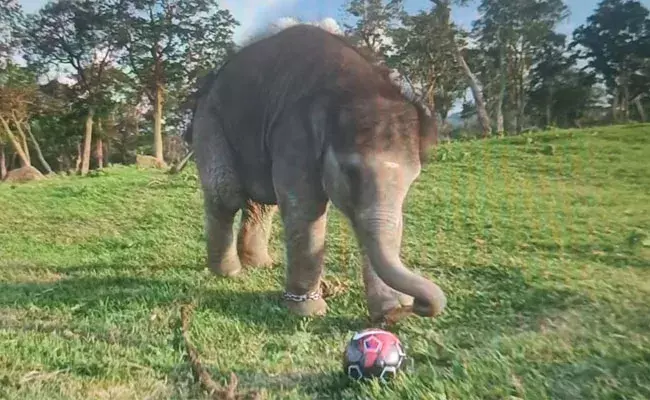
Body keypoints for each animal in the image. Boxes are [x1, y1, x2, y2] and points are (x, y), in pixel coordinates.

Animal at [184, 24, 447, 323]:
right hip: (209, 120)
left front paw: (389, 311)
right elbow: (305, 207)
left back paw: (259, 264)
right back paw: (229, 272)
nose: (414, 306)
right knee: (226, 193)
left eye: (413, 179)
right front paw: (308, 311)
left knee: (262, 202)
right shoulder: (295, 131)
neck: (355, 83)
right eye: (350, 172)